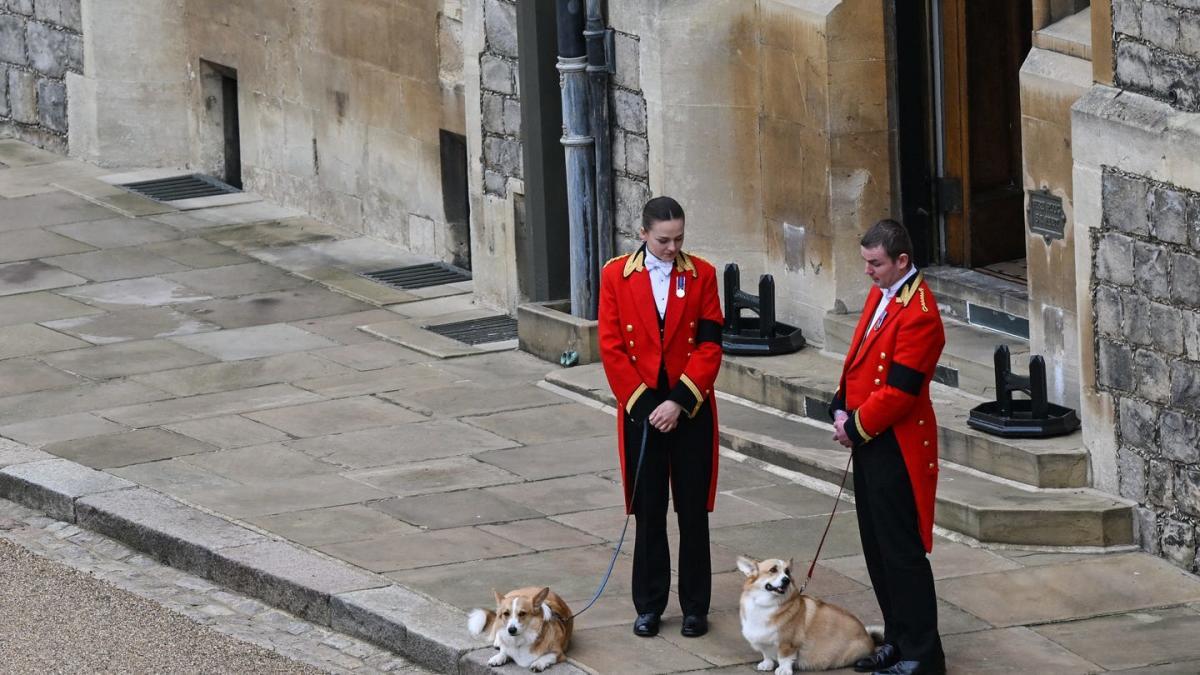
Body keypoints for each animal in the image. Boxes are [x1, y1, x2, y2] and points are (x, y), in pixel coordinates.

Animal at [729, 554, 883, 667]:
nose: (786, 580)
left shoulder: (788, 643)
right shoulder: (763, 641)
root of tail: (868, 637)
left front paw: (783, 670)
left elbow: (785, 658)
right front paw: (767, 664)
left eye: (787, 572)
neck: (766, 604)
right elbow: (766, 654)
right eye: (773, 570)